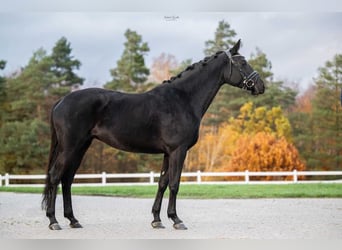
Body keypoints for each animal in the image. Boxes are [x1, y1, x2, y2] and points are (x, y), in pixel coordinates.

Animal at [40, 39, 264, 230]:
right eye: (242, 62)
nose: (261, 86)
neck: (183, 99)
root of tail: (61, 101)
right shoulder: (178, 151)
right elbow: (174, 183)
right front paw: (176, 220)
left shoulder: (168, 152)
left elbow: (162, 183)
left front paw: (157, 219)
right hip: (70, 147)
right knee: (55, 176)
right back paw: (53, 221)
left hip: (81, 146)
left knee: (67, 179)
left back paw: (73, 220)